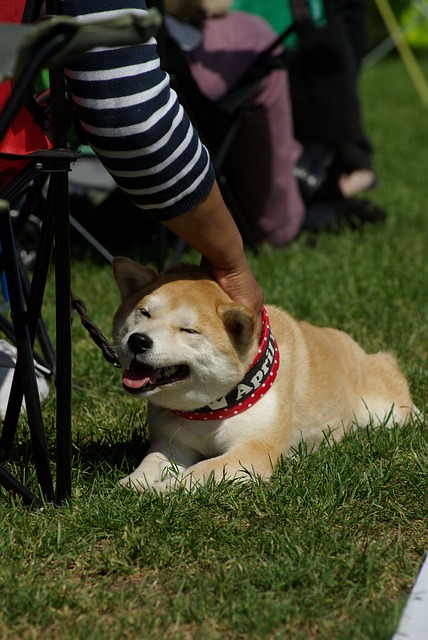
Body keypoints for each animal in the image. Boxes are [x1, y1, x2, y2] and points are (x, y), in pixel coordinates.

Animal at [112, 258, 416, 492]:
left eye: (188, 330)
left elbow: (201, 470)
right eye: (144, 313)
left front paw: (164, 488)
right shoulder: (174, 443)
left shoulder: (253, 451)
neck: (213, 410)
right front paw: (134, 482)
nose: (138, 340)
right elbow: (152, 462)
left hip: (387, 410)